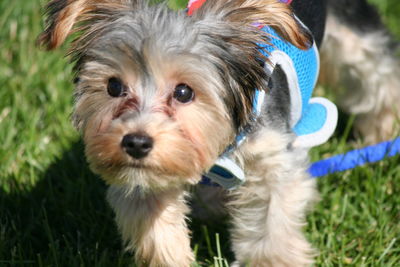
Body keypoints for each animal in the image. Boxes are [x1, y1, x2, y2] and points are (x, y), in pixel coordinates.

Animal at [38, 0, 400, 266]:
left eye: (184, 92)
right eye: (113, 86)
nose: (136, 143)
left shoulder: (272, 158)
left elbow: (270, 223)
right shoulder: (146, 173)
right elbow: (153, 221)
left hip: (351, 27)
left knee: (376, 68)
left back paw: (380, 135)